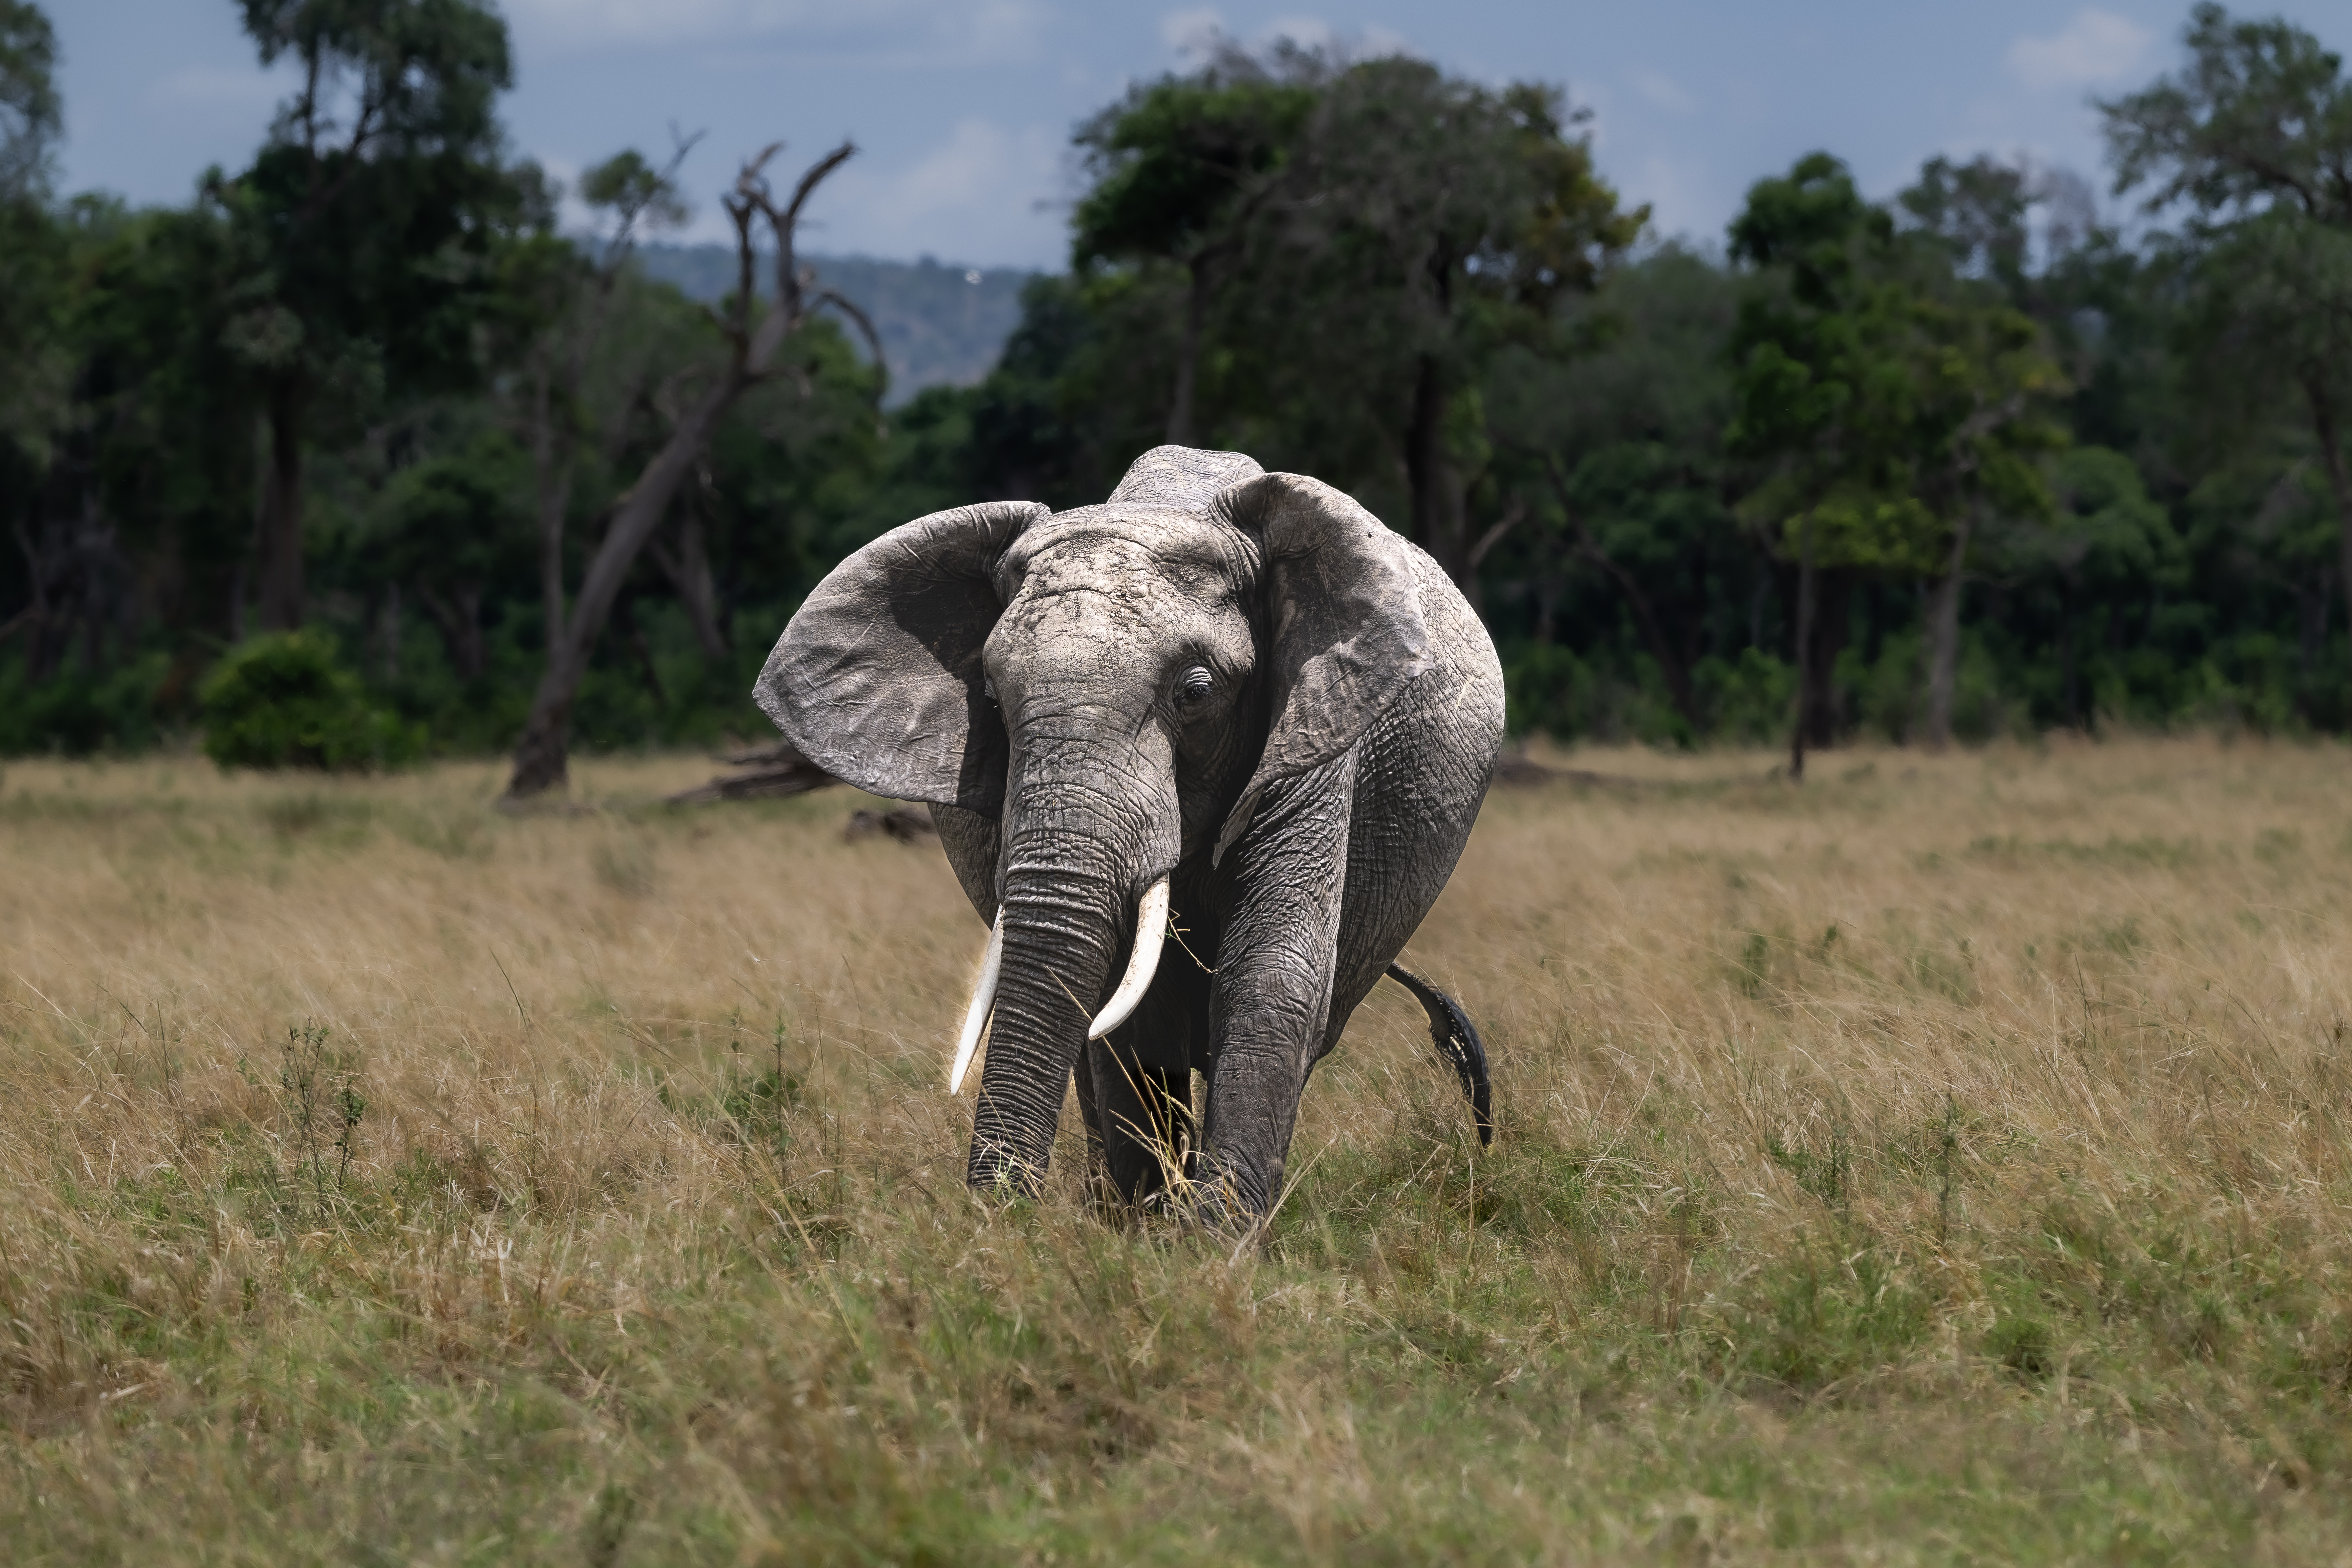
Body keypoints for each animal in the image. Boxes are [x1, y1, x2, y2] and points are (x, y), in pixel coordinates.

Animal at [756, 444, 1506, 1224]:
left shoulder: (1316, 730)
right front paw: (1149, 1230)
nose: (1001, 1219)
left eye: (1196, 691)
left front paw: (1211, 1239)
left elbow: (1273, 971)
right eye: (990, 696)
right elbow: (1122, 1011)